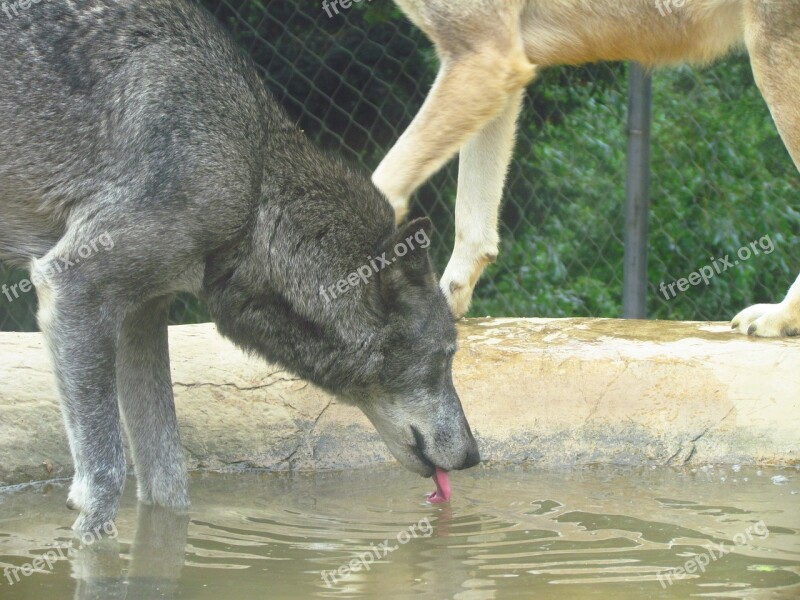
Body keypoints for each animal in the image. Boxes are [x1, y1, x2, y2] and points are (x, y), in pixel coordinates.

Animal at [0, 0, 476, 536]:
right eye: (445, 358)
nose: (475, 455)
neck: (253, 182)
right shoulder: (76, 285)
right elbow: (104, 479)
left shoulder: (141, 314)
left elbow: (168, 482)